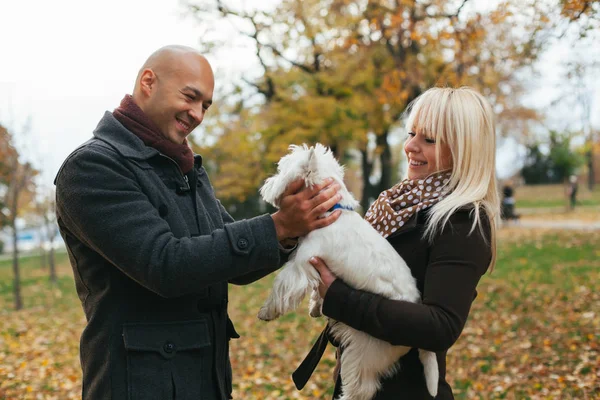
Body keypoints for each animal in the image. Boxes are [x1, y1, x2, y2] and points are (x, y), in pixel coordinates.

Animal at [256, 145, 436, 400]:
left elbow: (283, 285)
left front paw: (267, 311)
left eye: (282, 171)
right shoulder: (316, 265)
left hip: (365, 351)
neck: (333, 211)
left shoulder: (301, 263)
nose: (266, 185)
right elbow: (316, 289)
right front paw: (316, 307)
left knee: (362, 384)